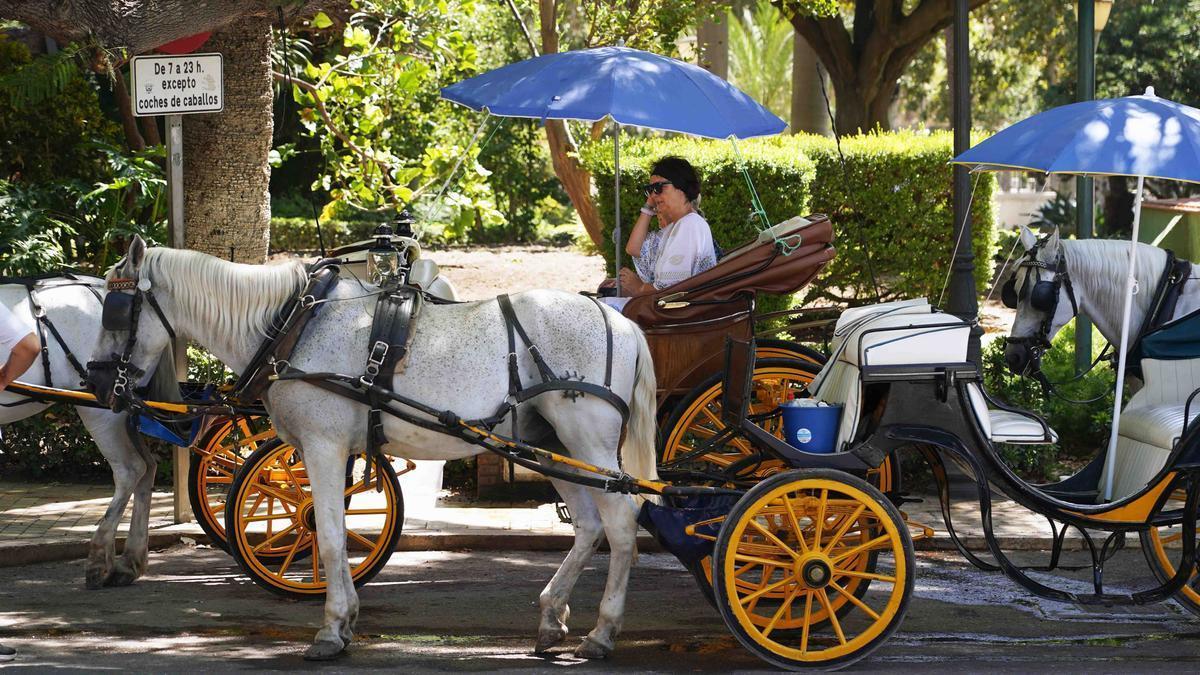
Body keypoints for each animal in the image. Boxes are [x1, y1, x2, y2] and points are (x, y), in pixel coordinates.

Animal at [88, 236, 662, 658]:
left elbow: (327, 535)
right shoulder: (331, 450)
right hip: (552, 447)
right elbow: (334, 531)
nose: (94, 382)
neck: (291, 324)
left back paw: (602, 632)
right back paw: (551, 617)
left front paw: (330, 629)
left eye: (114, 308)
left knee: (621, 524)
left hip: (587, 442)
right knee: (588, 526)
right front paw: (344, 622)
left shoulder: (322, 446)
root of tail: (620, 321)